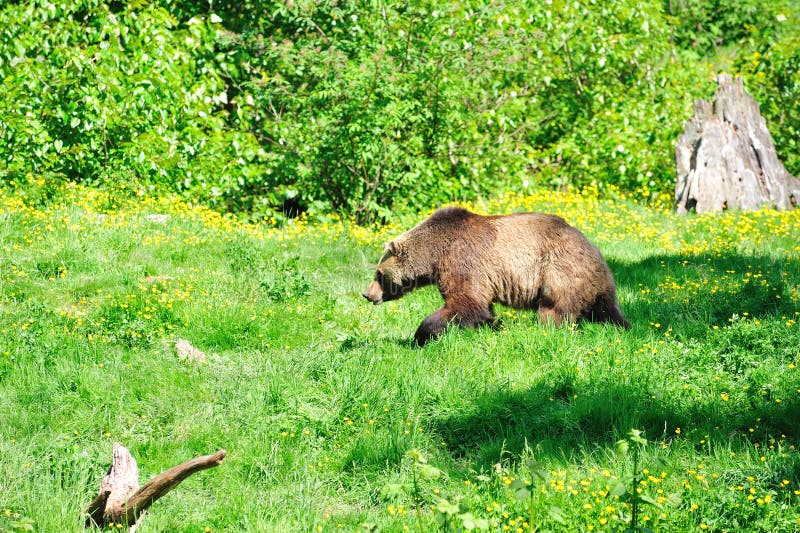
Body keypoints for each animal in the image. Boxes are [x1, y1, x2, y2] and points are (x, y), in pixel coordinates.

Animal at [362, 206, 632, 348]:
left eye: (379, 274)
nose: (367, 293)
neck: (434, 254)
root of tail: (593, 249)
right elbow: (481, 307)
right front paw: (493, 325)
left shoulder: (463, 260)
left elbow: (465, 302)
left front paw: (421, 335)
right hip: (599, 284)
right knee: (608, 311)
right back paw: (623, 328)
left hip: (561, 272)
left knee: (554, 310)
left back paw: (547, 331)